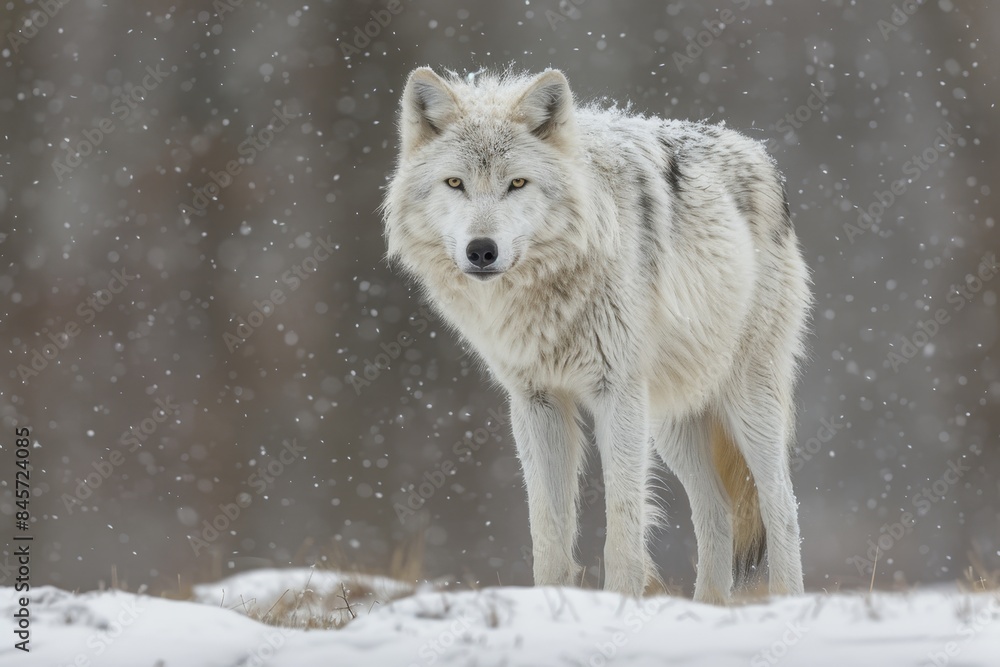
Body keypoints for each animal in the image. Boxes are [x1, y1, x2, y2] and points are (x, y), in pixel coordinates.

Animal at [382, 67, 811, 603]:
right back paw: (708, 607)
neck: (547, 297)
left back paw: (786, 600)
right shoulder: (536, 401)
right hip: (673, 419)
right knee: (718, 511)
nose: (482, 250)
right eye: (455, 183)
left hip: (746, 402)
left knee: (782, 506)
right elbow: (548, 529)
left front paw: (621, 602)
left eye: (517, 183)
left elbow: (623, 524)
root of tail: (762, 155)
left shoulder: (618, 394)